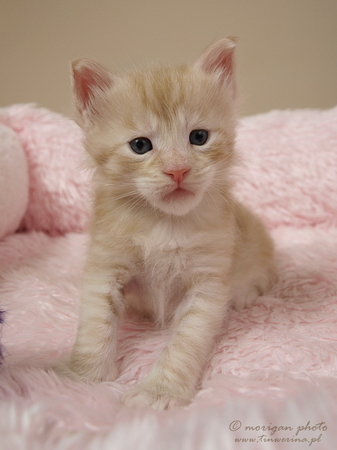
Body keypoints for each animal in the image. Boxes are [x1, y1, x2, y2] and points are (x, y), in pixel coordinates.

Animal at [67, 37, 274, 410]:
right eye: (140, 145)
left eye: (199, 137)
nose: (178, 170)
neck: (165, 223)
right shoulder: (105, 266)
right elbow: (96, 323)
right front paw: (85, 378)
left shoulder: (207, 284)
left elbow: (185, 343)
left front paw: (160, 391)